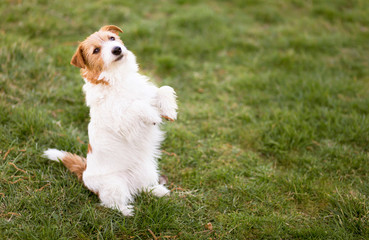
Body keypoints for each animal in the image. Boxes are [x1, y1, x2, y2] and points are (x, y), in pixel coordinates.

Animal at [42, 24, 178, 216]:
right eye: (96, 50)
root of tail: (84, 173)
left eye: (112, 38)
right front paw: (153, 115)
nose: (117, 49)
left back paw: (158, 191)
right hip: (115, 185)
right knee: (110, 203)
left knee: (142, 188)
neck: (118, 78)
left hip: (147, 169)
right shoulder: (123, 123)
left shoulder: (147, 94)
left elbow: (164, 88)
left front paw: (168, 109)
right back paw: (127, 211)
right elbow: (137, 106)